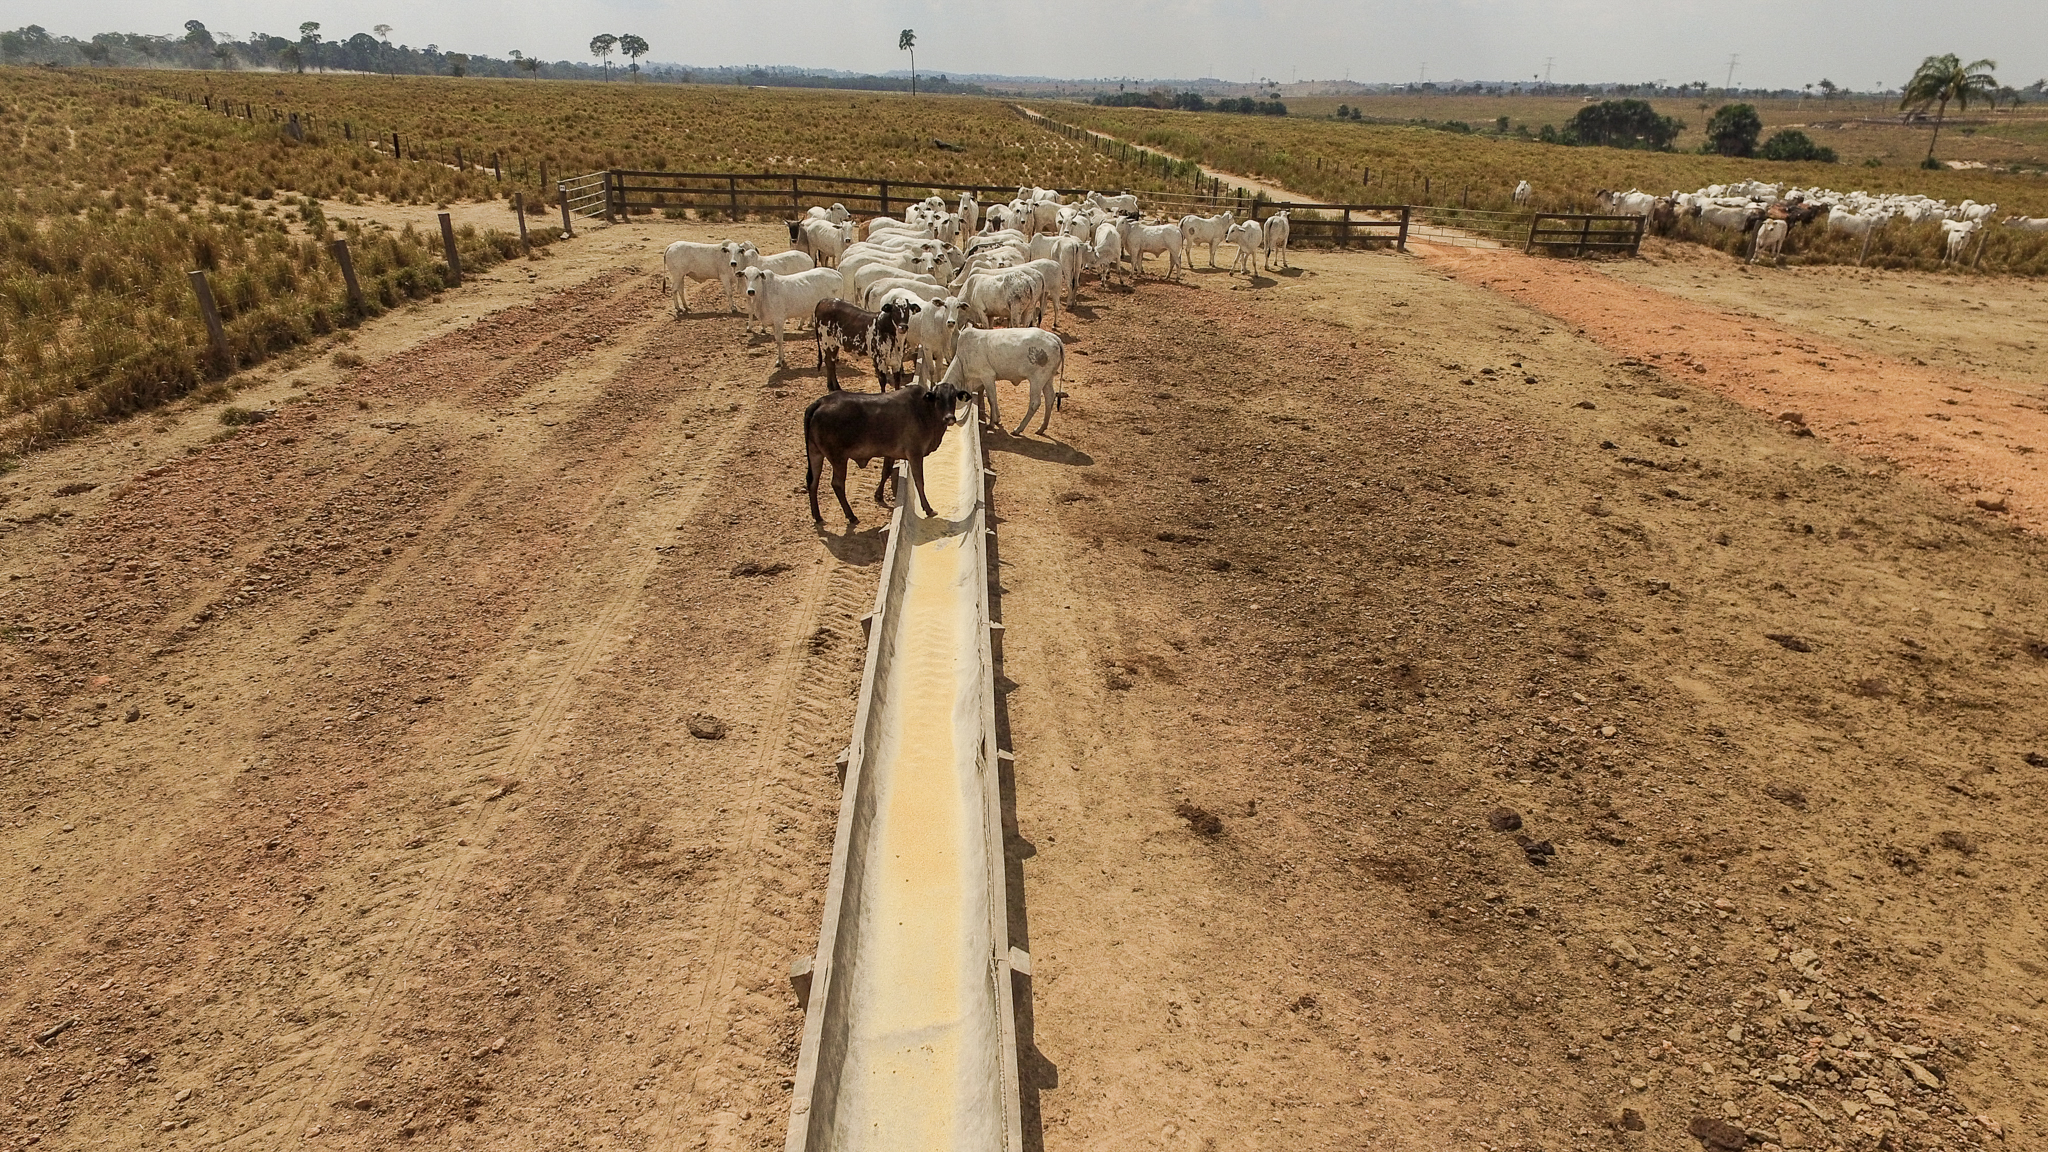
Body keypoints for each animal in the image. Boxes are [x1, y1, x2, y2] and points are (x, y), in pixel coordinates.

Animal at [803, 383, 969, 525]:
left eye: (954, 397)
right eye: (938, 397)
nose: (949, 418)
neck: (925, 411)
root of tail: (821, 402)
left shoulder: (891, 453)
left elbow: (886, 472)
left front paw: (878, 495)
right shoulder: (915, 454)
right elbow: (919, 481)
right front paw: (928, 509)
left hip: (815, 453)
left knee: (812, 481)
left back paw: (818, 516)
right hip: (838, 458)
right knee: (837, 484)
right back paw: (851, 516)